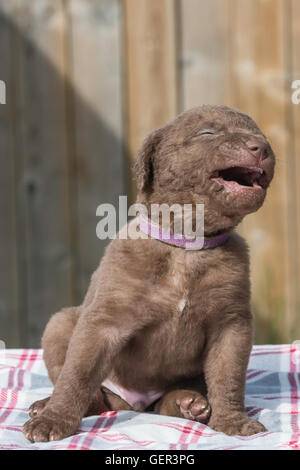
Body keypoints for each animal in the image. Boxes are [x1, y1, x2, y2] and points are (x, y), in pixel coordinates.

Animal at [24, 105, 276, 440]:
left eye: (259, 134)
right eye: (208, 133)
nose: (261, 147)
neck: (186, 246)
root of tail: (135, 403)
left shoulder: (231, 324)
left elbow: (228, 378)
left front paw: (233, 421)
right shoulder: (104, 322)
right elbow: (76, 375)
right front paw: (53, 421)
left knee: (167, 402)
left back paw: (188, 403)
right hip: (61, 323)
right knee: (92, 394)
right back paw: (45, 405)